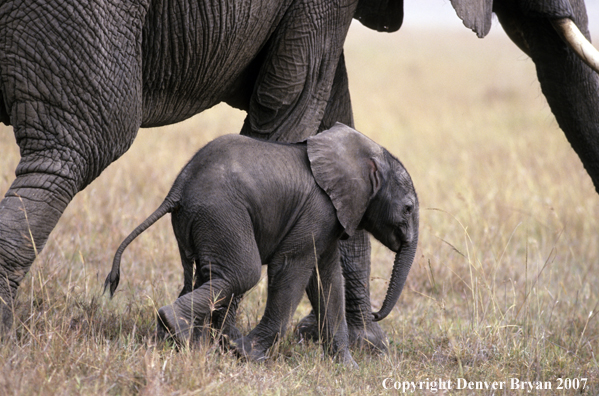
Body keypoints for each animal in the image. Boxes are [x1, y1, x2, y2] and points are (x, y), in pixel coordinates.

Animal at [105, 122, 420, 366]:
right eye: (407, 209)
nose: (377, 312)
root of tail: (178, 187)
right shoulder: (318, 209)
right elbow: (291, 269)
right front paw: (246, 354)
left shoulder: (332, 217)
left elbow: (327, 280)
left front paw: (346, 368)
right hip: (221, 212)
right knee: (243, 273)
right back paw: (179, 331)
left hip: (199, 220)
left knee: (205, 275)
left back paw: (183, 342)